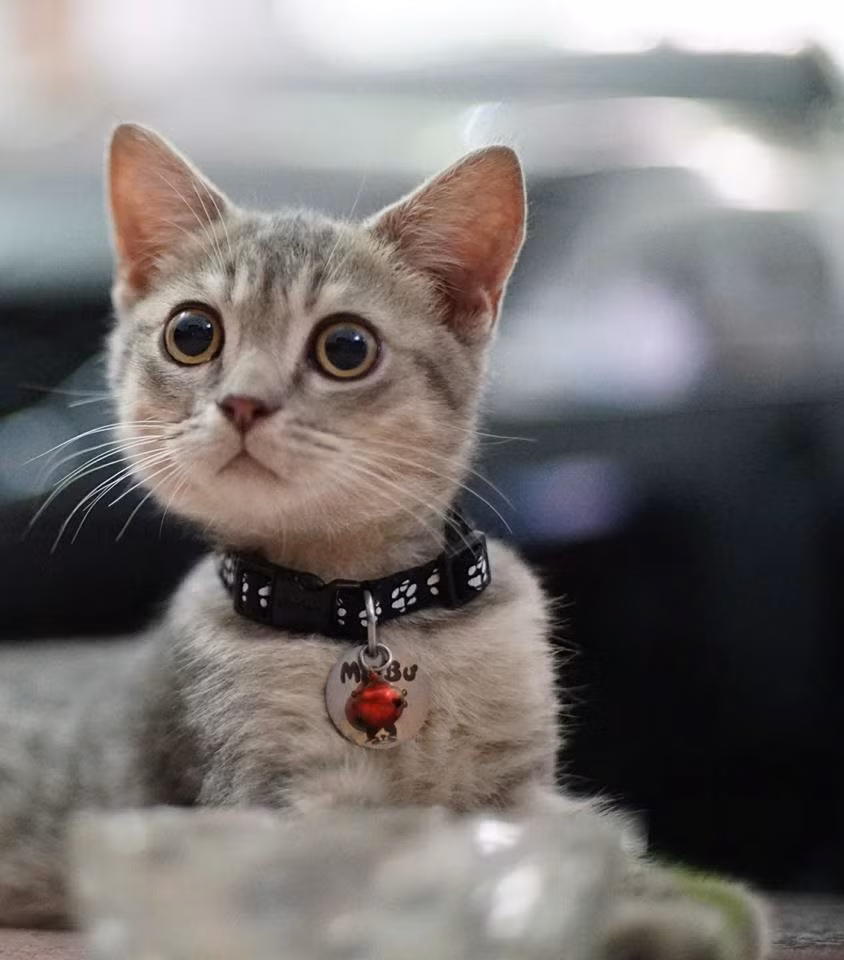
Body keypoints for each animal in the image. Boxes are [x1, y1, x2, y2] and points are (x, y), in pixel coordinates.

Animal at [0, 124, 769, 956]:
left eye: (345, 347)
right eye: (193, 333)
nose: (243, 402)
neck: (365, 606)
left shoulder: (521, 786)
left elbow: (575, 837)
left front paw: (681, 894)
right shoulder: (276, 806)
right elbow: (414, 868)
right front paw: (636, 921)